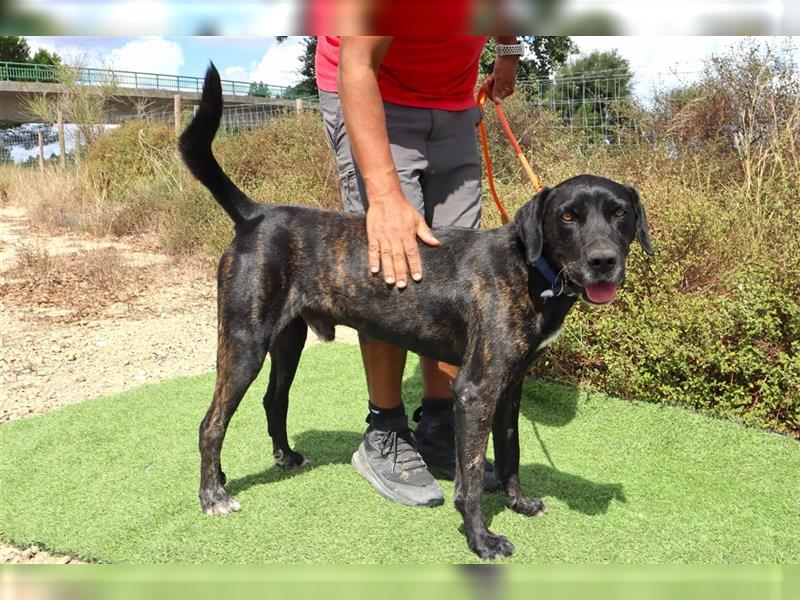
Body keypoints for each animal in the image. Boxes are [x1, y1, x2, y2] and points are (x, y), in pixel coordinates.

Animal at [180, 64, 648, 556]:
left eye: (619, 213)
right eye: (568, 217)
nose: (603, 261)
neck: (529, 269)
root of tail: (256, 213)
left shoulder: (510, 387)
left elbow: (512, 451)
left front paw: (519, 502)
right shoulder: (477, 389)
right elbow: (470, 482)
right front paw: (481, 539)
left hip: (288, 340)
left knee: (274, 398)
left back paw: (282, 457)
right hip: (244, 342)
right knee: (211, 423)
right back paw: (213, 495)